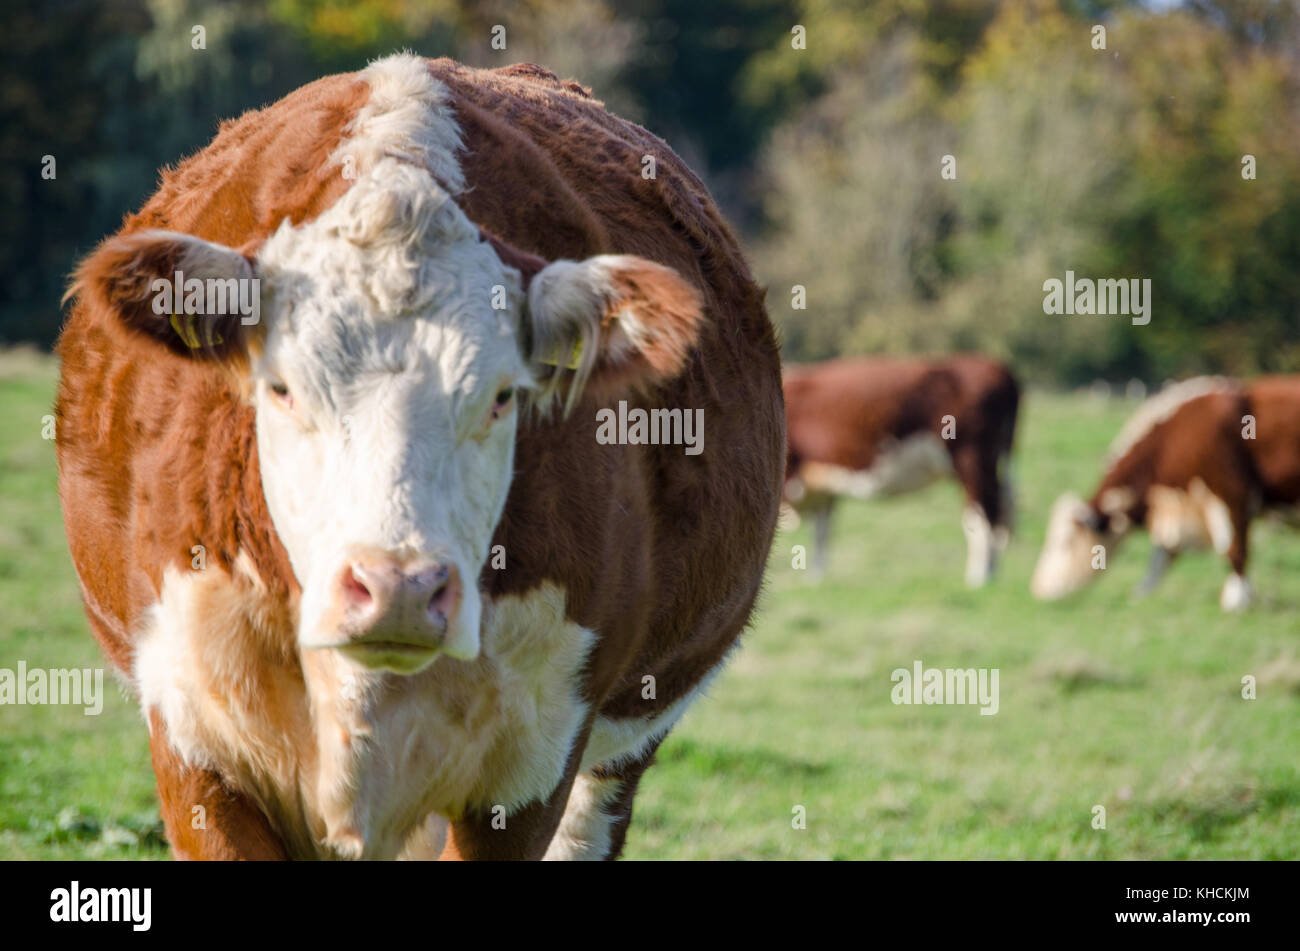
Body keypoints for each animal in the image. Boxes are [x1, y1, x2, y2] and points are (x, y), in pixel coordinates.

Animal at [781, 355, 1020, 585]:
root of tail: (996, 367)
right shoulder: (824, 483)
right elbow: (822, 530)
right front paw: (816, 579)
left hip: (972, 463)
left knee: (982, 516)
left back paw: (979, 579)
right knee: (999, 512)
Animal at [1030, 376, 1300, 611]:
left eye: (1064, 542)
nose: (1039, 587)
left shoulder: (1232, 496)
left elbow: (1235, 549)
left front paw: (1236, 600)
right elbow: (1160, 558)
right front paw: (1140, 594)